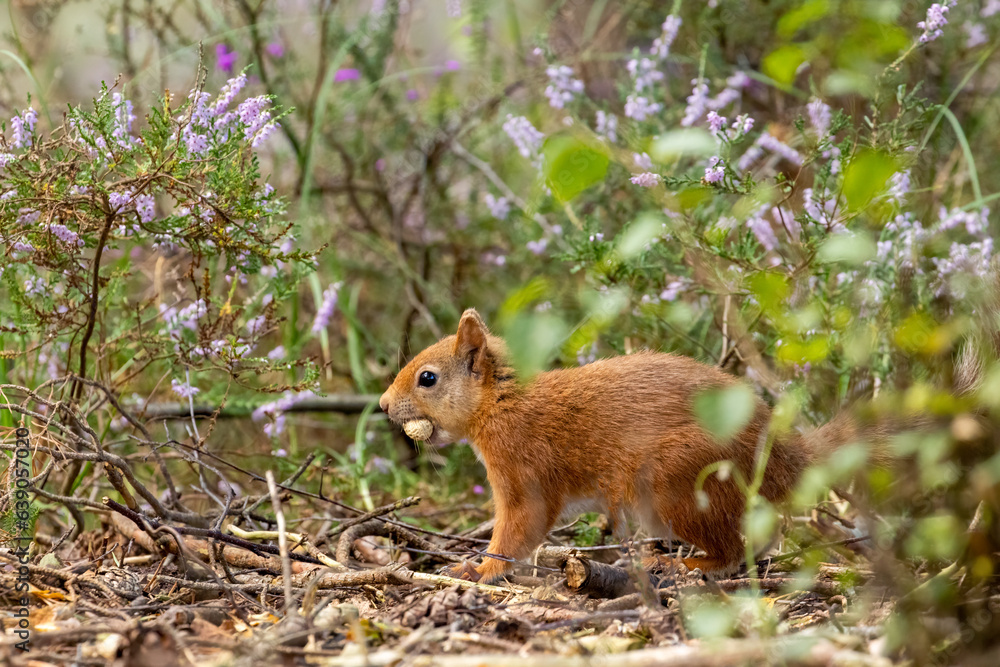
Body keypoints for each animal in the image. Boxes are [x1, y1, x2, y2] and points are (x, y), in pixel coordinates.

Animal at [379, 308, 888, 583]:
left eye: (428, 378)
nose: (383, 405)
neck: (500, 403)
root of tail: (783, 456)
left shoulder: (523, 470)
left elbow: (518, 529)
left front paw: (480, 571)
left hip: (677, 479)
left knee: (732, 549)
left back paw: (688, 564)